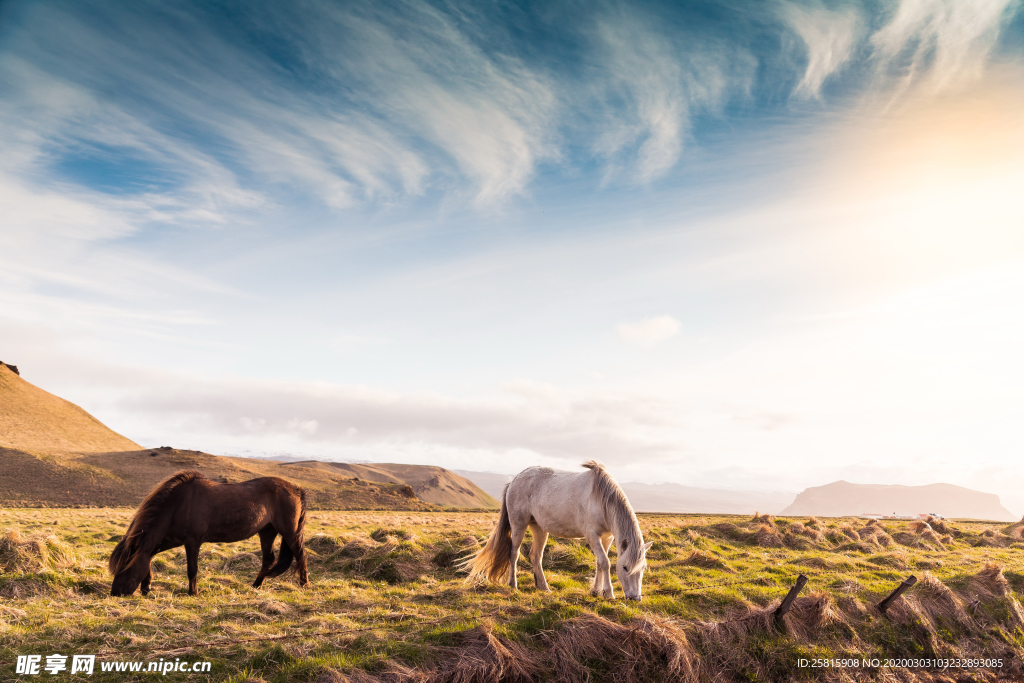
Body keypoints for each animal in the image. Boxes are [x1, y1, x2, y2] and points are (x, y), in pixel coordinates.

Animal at [109, 473, 307, 593]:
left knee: (300, 555)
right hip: (267, 532)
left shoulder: (192, 541)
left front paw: (193, 593)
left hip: (289, 532)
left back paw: (305, 584)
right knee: (268, 560)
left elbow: (192, 570)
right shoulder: (169, 540)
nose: (115, 593)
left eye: (124, 566)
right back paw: (256, 586)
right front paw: (147, 586)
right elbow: (149, 557)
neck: (177, 506)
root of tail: (296, 489)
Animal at [462, 462, 647, 602]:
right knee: (514, 553)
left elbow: (600, 563)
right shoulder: (592, 535)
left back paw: (543, 587)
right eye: (625, 567)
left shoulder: (607, 537)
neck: (601, 498)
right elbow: (605, 562)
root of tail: (514, 480)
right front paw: (608, 593)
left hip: (539, 528)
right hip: (518, 524)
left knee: (536, 556)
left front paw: (596, 591)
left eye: (643, 568)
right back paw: (513, 585)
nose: (635, 598)